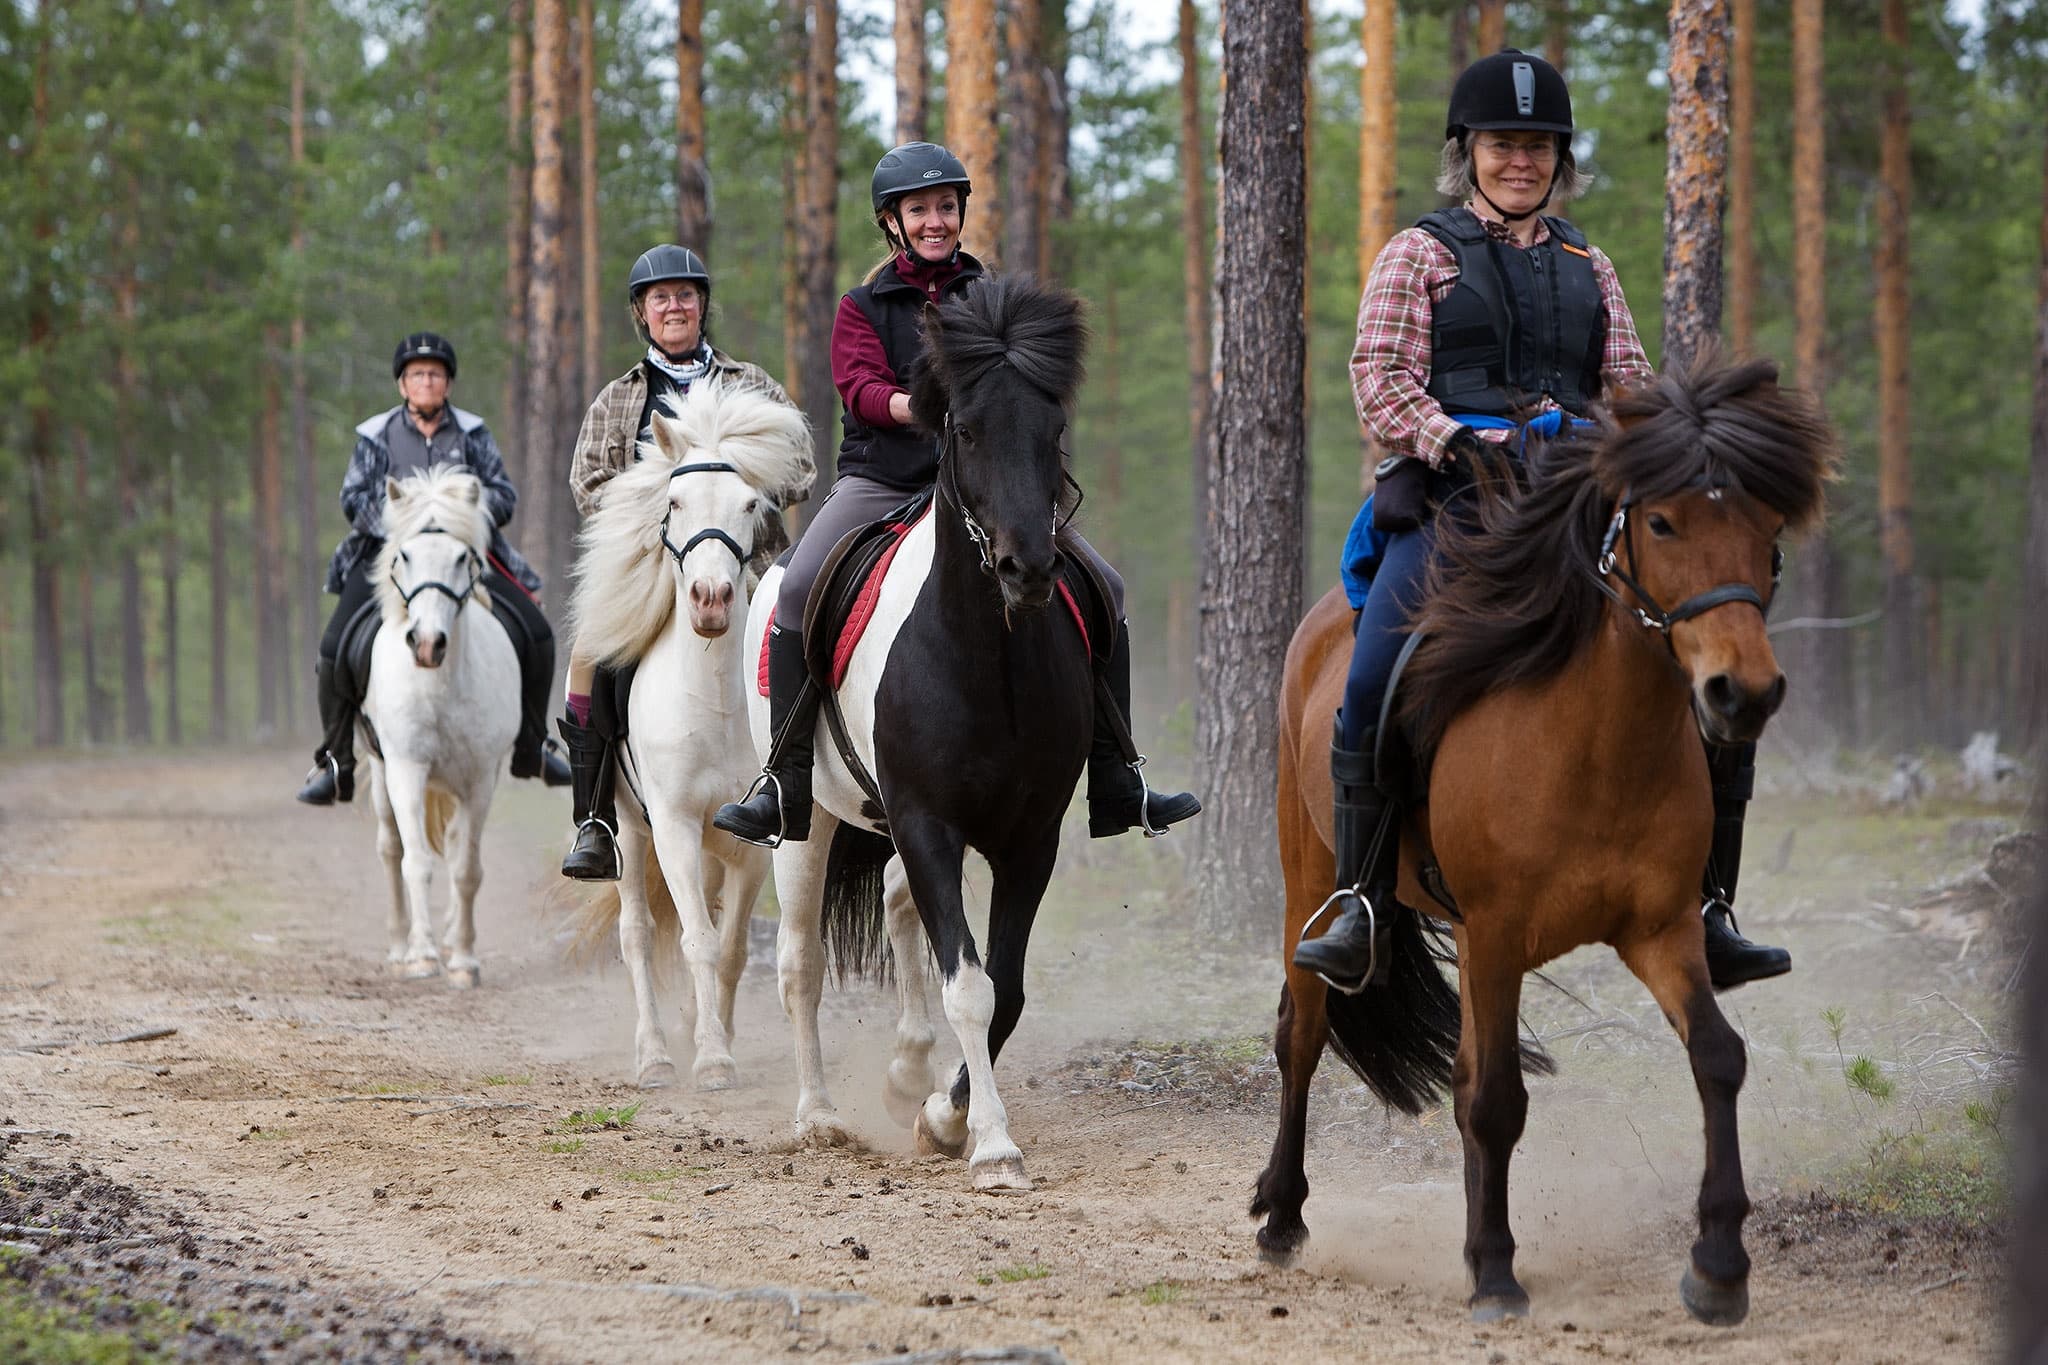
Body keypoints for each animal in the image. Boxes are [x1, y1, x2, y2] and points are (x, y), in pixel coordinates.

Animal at [360, 466, 523, 989]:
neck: (440, 687)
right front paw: (423, 955)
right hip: (380, 772)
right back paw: (399, 946)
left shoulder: (480, 779)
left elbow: (466, 868)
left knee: (452, 849)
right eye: (404, 556)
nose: (428, 643)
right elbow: (416, 863)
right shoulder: (405, 770)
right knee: (390, 849)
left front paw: (464, 960)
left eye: (461, 557)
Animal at [567, 380, 814, 1090]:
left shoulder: (749, 842)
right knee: (638, 934)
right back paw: (653, 1055)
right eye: (673, 502)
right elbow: (695, 941)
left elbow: (727, 949)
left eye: (751, 504)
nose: (710, 599)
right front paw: (708, 1061)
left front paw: (717, 1041)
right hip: (626, 826)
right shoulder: (674, 825)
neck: (712, 704)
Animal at [746, 274, 1096, 1188]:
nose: (1027, 568)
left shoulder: (1029, 838)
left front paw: (944, 1112)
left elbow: (1003, 986)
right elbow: (970, 984)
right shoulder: (929, 823)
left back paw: (907, 1069)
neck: (985, 660)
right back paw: (818, 1115)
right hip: (806, 820)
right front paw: (992, 1143)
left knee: (900, 909)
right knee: (800, 963)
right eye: (965, 430)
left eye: (1052, 430)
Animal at [1252, 356, 1835, 1323]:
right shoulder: (1495, 935)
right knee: (1304, 1029)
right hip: (1310, 870)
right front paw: (1495, 1272)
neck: (1596, 743)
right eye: (1662, 520)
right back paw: (1284, 1217)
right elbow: (1495, 1098)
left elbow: (1717, 1057)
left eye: (1765, 527)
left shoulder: (1660, 929)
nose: (1741, 692)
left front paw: (1718, 1265)